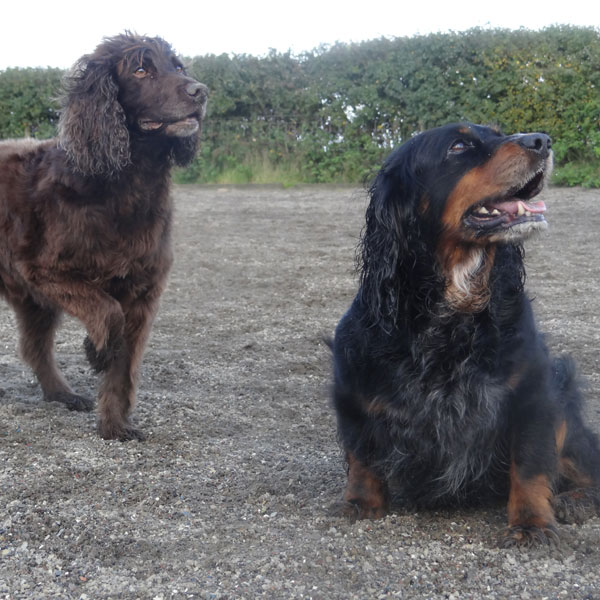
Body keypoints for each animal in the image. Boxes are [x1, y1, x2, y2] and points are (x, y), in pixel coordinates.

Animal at [0, 34, 209, 440]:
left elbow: (123, 368)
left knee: (34, 348)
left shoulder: (142, 291)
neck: (125, 186)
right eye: (140, 69)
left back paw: (62, 394)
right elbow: (107, 312)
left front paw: (114, 426)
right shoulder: (44, 271)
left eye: (177, 66)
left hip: (33, 303)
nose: (201, 91)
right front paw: (96, 350)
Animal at [332, 120, 600, 544]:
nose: (542, 141)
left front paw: (531, 523)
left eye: (499, 133)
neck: (454, 307)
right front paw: (358, 503)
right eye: (458, 147)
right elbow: (361, 453)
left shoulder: (535, 392)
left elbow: (530, 464)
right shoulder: (351, 383)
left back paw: (575, 499)